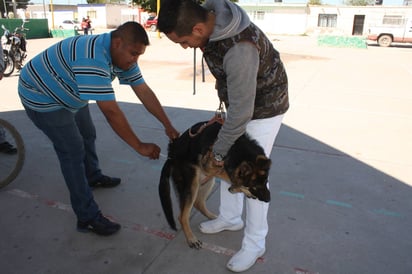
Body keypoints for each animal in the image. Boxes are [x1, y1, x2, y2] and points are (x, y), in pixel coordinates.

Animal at [159, 120, 272, 248]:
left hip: (207, 181)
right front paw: (237, 187)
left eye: (266, 182)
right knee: (182, 216)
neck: (236, 150)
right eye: (254, 187)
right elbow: (229, 175)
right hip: (192, 183)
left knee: (198, 203)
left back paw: (212, 217)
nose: (269, 199)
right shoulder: (210, 165)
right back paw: (191, 238)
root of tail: (171, 155)